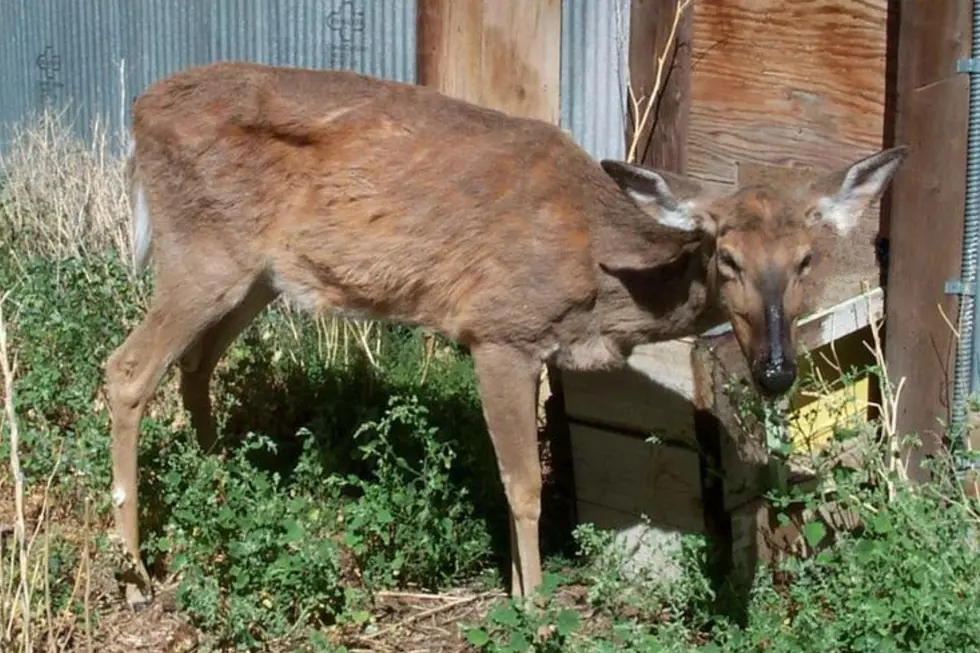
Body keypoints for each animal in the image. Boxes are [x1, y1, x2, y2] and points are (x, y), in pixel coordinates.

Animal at [103, 59, 908, 608]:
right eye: (727, 256)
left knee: (194, 367)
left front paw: (524, 588)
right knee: (127, 370)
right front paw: (534, 603)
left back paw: (220, 488)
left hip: (257, 276)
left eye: (806, 260)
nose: (775, 370)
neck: (600, 278)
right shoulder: (497, 331)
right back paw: (138, 571)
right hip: (201, 254)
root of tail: (137, 114)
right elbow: (523, 485)